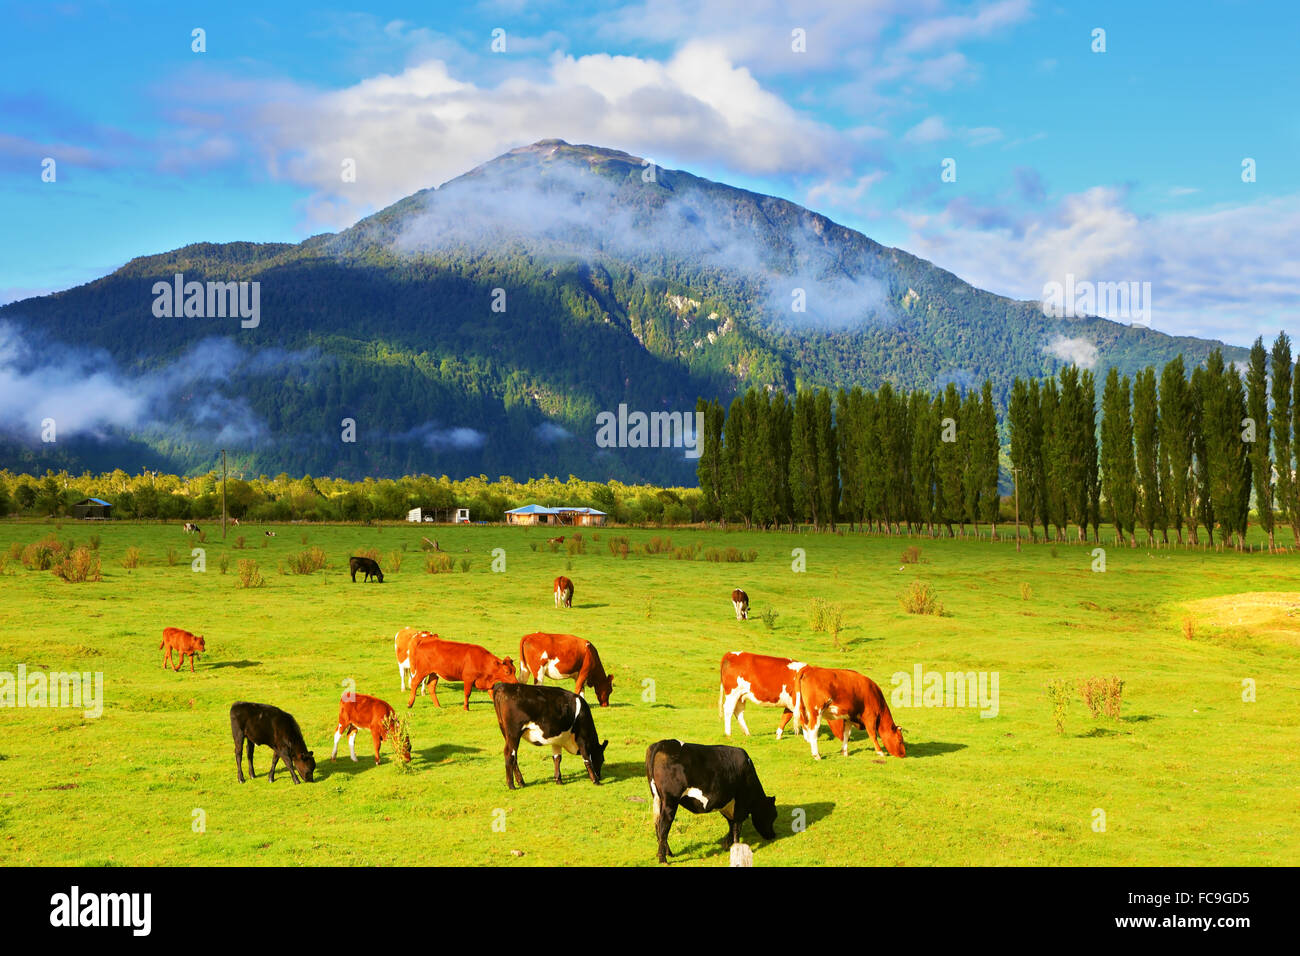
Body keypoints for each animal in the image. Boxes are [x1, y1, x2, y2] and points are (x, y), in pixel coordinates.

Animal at [644, 738, 774, 868]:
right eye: (773, 816)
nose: (773, 836)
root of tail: (664, 742)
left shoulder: (726, 804)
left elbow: (731, 824)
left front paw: (727, 845)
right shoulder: (740, 803)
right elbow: (737, 827)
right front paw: (736, 847)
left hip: (659, 799)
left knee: (658, 825)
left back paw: (667, 853)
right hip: (670, 801)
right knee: (663, 826)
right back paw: (663, 859)